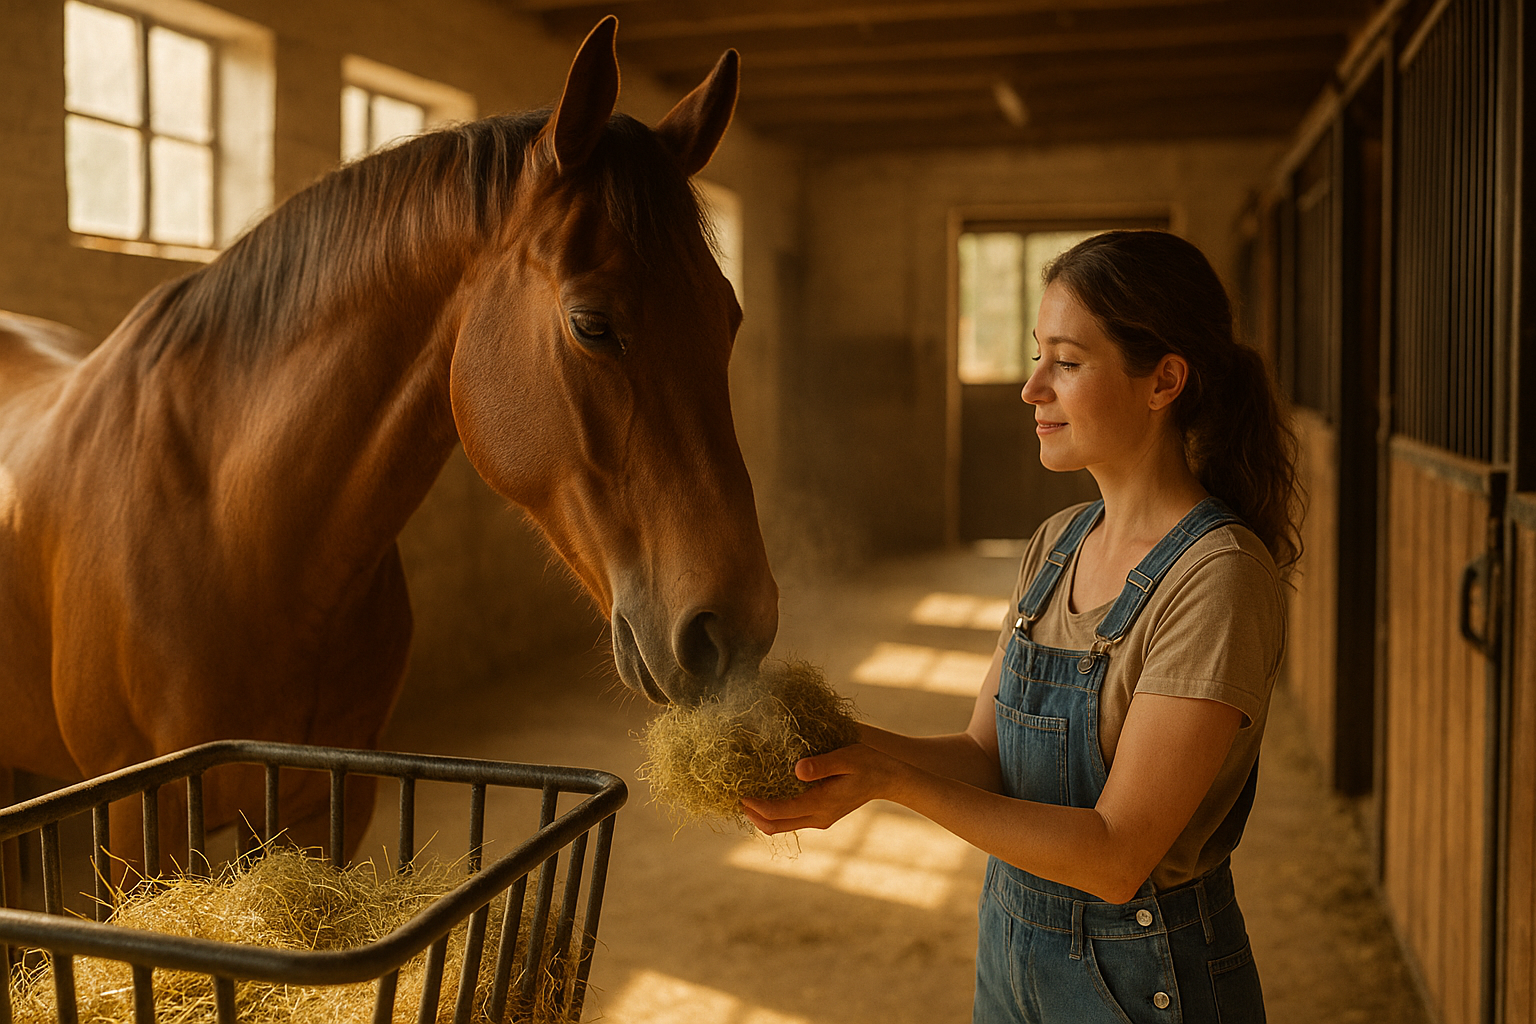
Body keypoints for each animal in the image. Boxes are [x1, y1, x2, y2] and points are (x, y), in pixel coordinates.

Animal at [0, 17, 778, 874]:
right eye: (592, 325)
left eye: (730, 317)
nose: (734, 628)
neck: (231, 530)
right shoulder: (142, 822)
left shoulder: (323, 802)